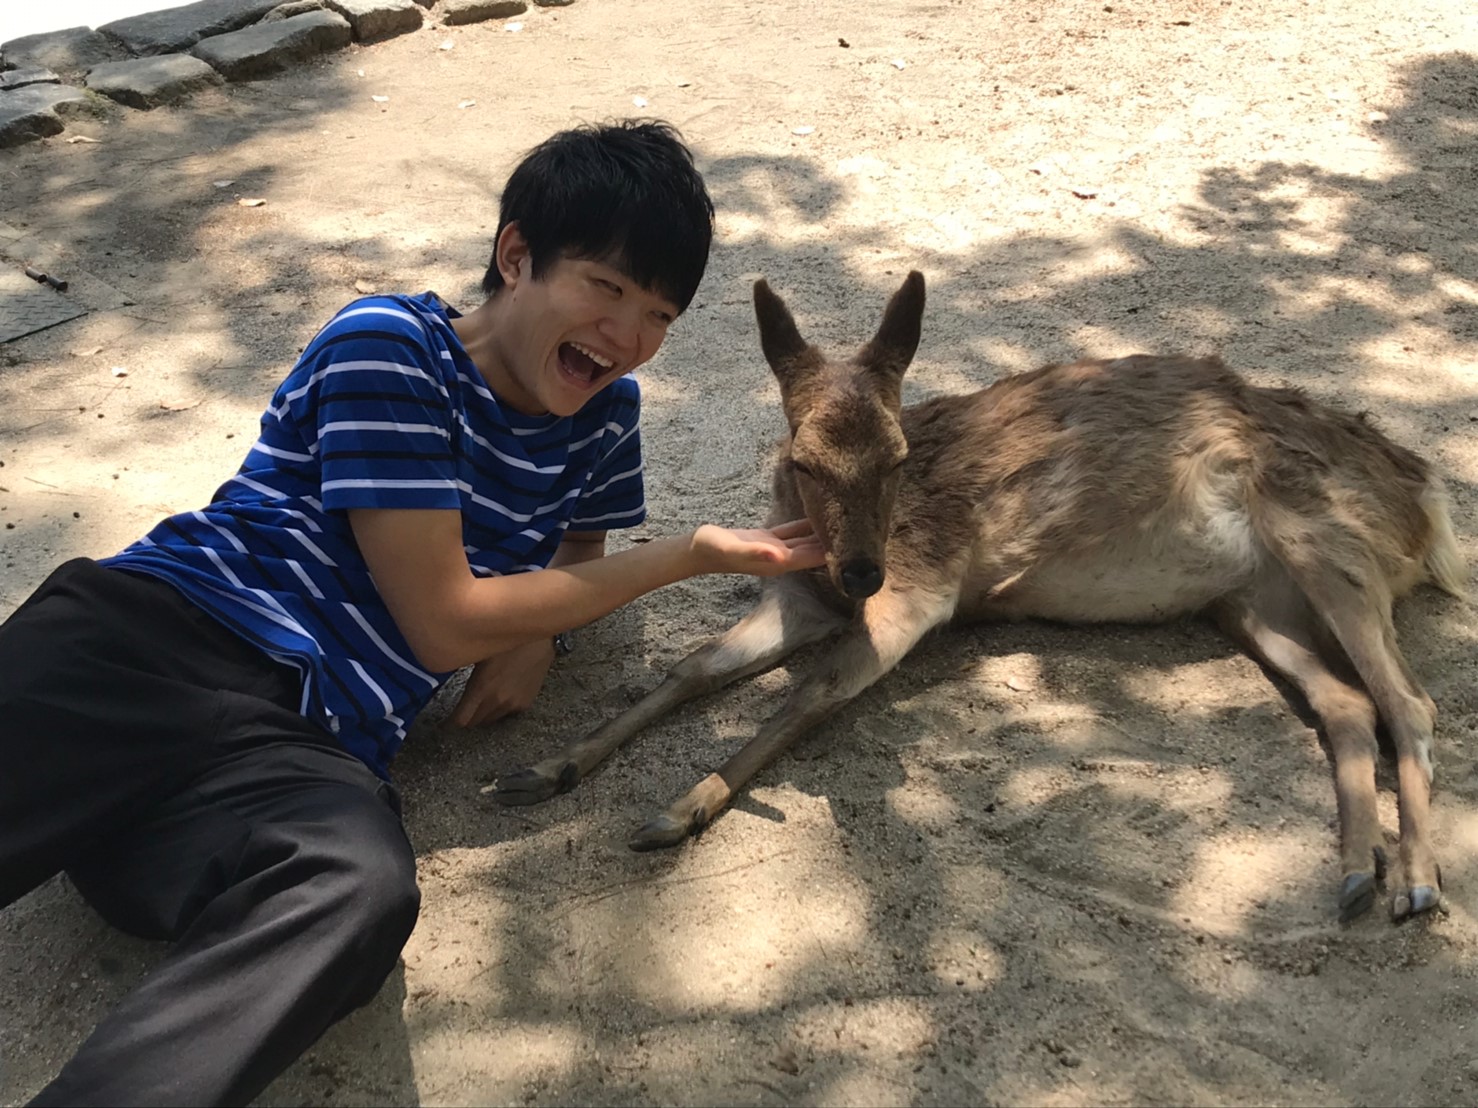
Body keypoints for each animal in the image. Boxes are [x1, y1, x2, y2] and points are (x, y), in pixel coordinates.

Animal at [494, 270, 1467, 924]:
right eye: (803, 460)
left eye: (897, 455)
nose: (861, 573)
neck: (828, 558)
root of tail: (1425, 499)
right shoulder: (798, 596)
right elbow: (693, 668)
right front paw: (543, 771)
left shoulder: (922, 588)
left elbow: (811, 691)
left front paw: (676, 811)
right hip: (1255, 600)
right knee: (1347, 703)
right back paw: (1355, 874)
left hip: (1327, 541)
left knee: (1409, 702)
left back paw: (1417, 883)